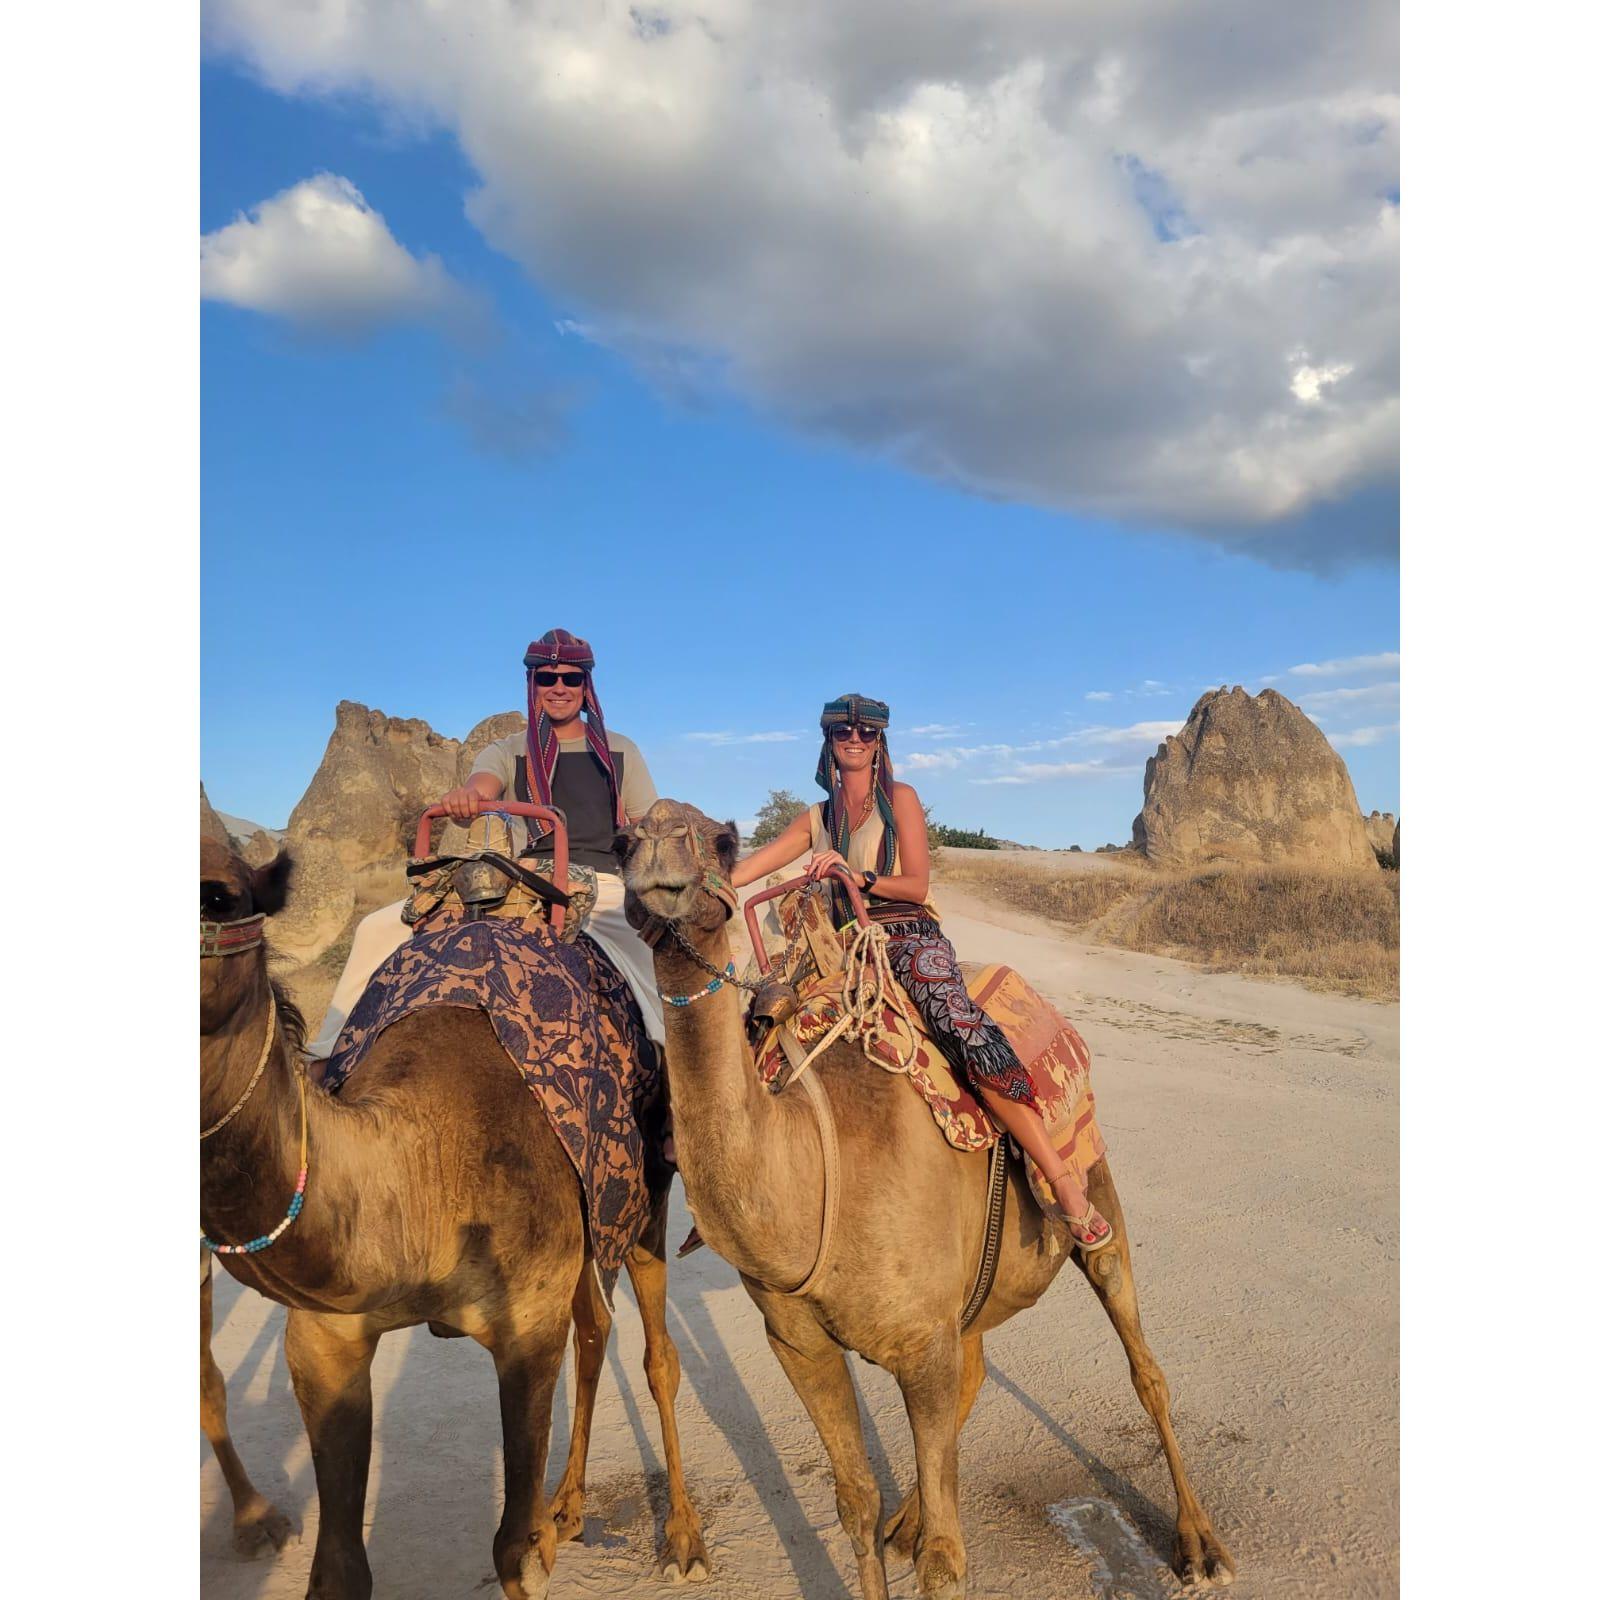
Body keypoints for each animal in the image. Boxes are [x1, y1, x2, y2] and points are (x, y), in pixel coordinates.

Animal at [195, 838, 707, 1600]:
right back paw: (569, 1508)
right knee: (592, 1333)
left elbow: (514, 1552)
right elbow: (339, 1569)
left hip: (643, 1194)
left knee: (656, 1353)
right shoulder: (323, 1337)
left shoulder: (526, 1322)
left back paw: (681, 1538)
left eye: (219, 895)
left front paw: (548, 1539)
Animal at [617, 806, 1228, 1600]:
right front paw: (890, 1520)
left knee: (1142, 1363)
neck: (817, 1168)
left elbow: (947, 1555)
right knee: (976, 1366)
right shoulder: (801, 1343)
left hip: (1096, 1192)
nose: (659, 850)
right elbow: (855, 1505)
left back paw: (1200, 1546)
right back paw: (907, 1518)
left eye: (722, 839)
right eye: (623, 839)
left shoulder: (921, 1342)